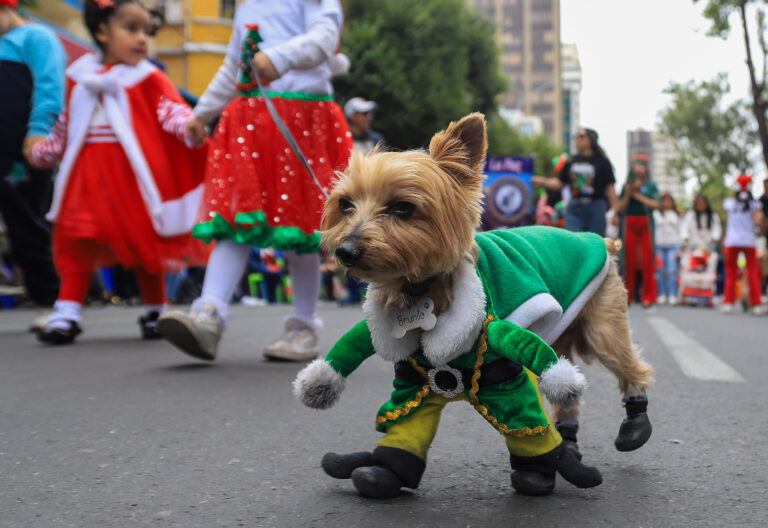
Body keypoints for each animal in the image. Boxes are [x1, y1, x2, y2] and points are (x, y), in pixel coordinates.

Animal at [294, 113, 656, 498]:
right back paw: (570, 441)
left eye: (403, 207)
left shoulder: (500, 369)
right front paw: (385, 472)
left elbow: (524, 419)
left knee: (627, 366)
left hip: (601, 325)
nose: (345, 251)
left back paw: (634, 424)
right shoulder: (415, 377)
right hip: (561, 330)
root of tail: (598, 238)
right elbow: (407, 420)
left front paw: (536, 471)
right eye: (345, 205)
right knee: (569, 391)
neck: (422, 287)